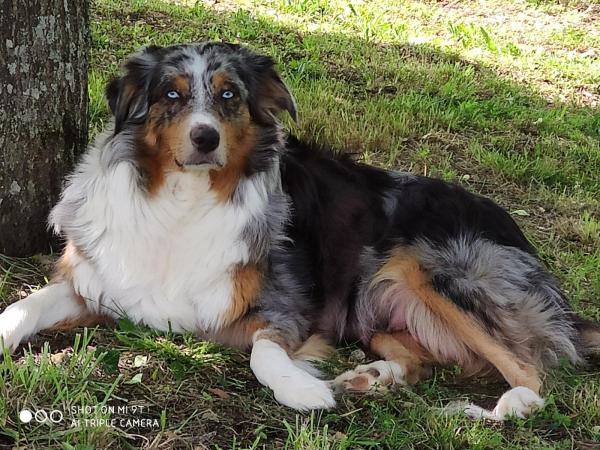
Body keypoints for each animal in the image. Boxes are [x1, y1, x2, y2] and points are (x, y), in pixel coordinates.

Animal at [1, 42, 600, 418]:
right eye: (171, 94)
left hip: (430, 269)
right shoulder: (98, 280)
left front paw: (300, 390)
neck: (182, 199)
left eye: (229, 96)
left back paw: (494, 408)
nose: (204, 139)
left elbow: (265, 352)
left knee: (535, 375)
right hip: (377, 305)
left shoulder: (286, 305)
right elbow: (26, 304)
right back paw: (371, 377)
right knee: (420, 359)